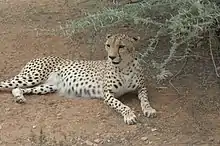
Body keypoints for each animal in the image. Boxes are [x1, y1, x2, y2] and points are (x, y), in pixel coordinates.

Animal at [0, 33, 156, 125]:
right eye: (108, 45)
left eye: (121, 46)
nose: (111, 57)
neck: (124, 66)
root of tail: (37, 57)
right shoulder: (108, 94)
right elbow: (121, 105)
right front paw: (129, 115)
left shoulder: (141, 87)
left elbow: (145, 99)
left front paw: (149, 109)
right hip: (32, 76)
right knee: (6, 84)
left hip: (47, 86)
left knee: (18, 88)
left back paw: (19, 97)